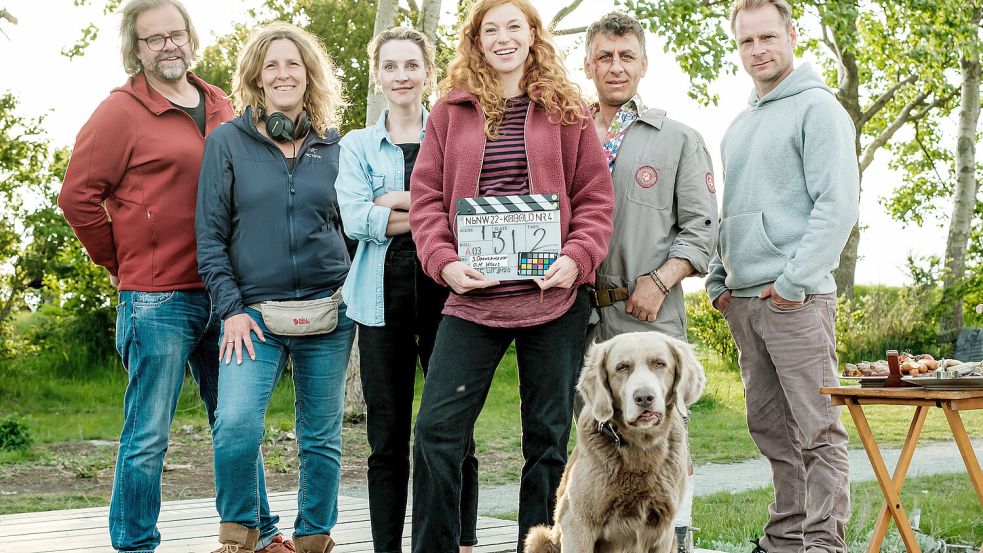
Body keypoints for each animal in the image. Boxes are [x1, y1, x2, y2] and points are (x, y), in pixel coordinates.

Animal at [528, 332, 704, 552]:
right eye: (622, 368)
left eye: (660, 364)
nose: (644, 397)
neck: (640, 446)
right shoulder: (578, 524)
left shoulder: (664, 529)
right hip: (540, 536)